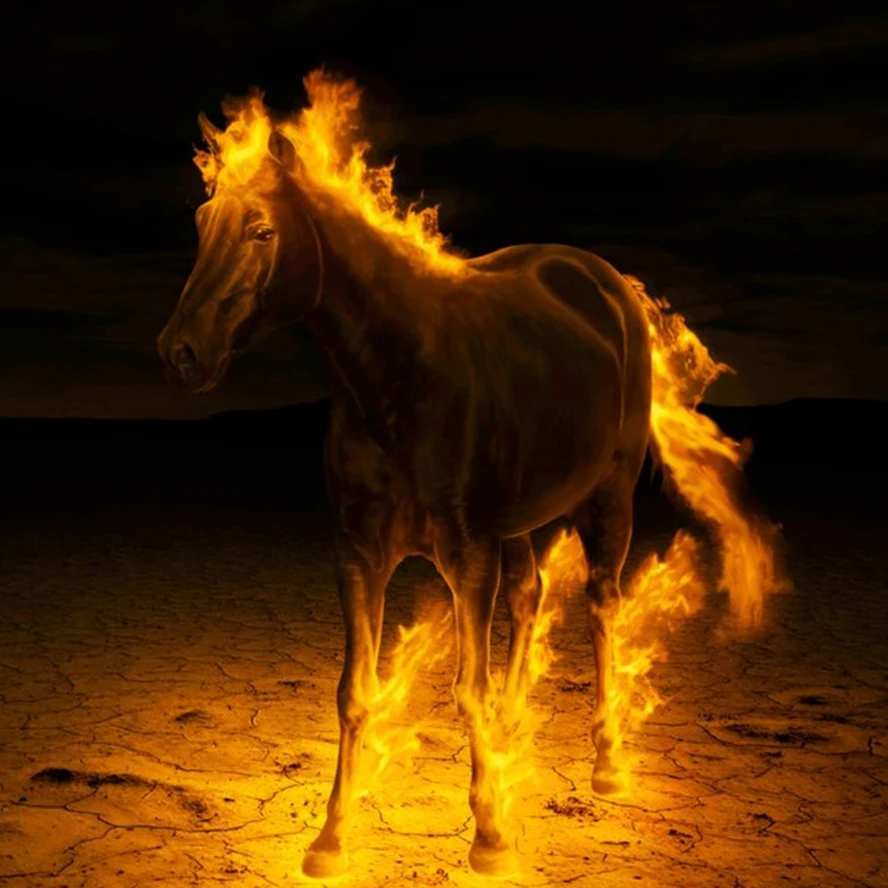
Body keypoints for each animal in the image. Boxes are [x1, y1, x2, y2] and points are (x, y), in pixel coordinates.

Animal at [158, 126, 652, 878]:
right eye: (201, 221)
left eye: (263, 231)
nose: (181, 352)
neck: (397, 379)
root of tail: (605, 284)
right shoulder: (359, 555)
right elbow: (354, 692)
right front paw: (331, 839)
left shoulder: (467, 557)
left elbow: (468, 689)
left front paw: (490, 838)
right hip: (517, 521)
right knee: (530, 595)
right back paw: (515, 734)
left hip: (608, 499)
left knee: (602, 606)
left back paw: (608, 765)